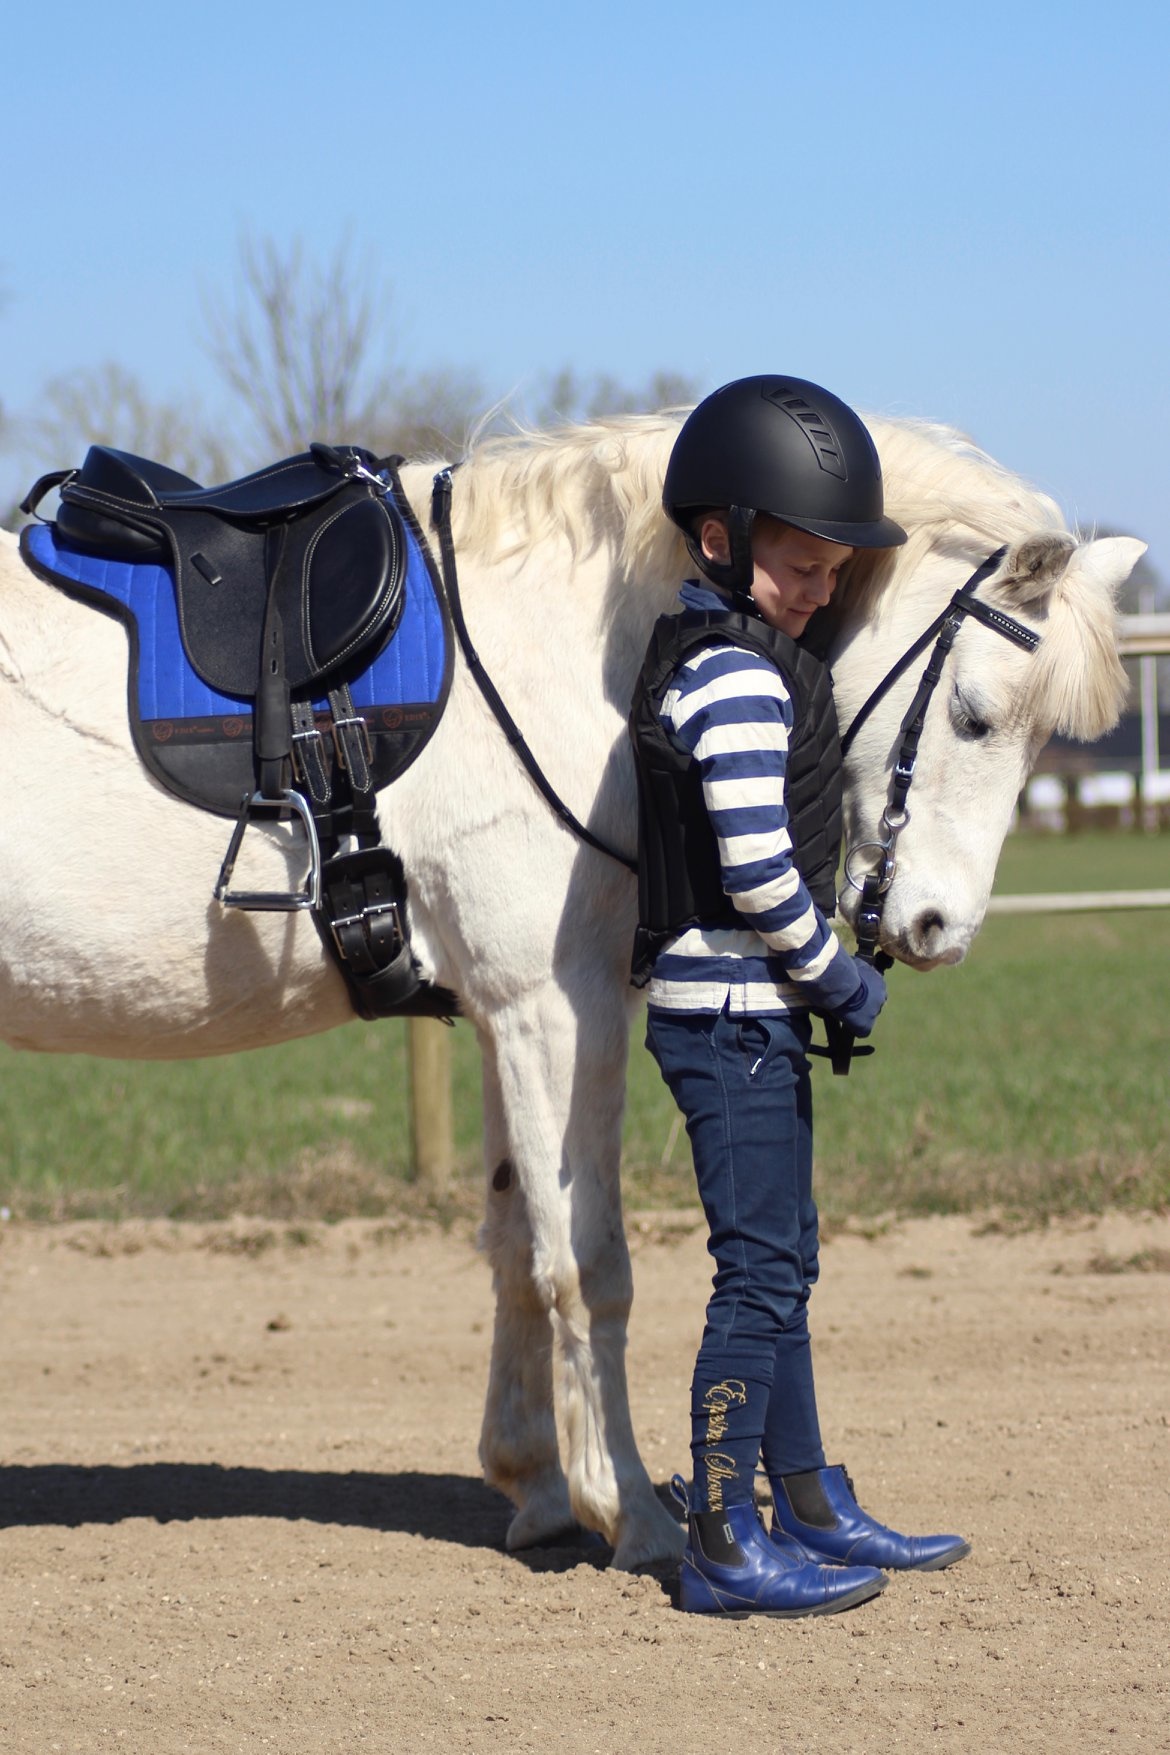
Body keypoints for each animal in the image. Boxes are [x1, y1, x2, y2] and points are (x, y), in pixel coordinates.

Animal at [0, 410, 1142, 1569]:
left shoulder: (502, 1016)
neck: (552, 655)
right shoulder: (554, 1008)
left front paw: (538, 1487)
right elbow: (587, 1265)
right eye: (973, 715)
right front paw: (629, 1509)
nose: (937, 930)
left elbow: (516, 1245)